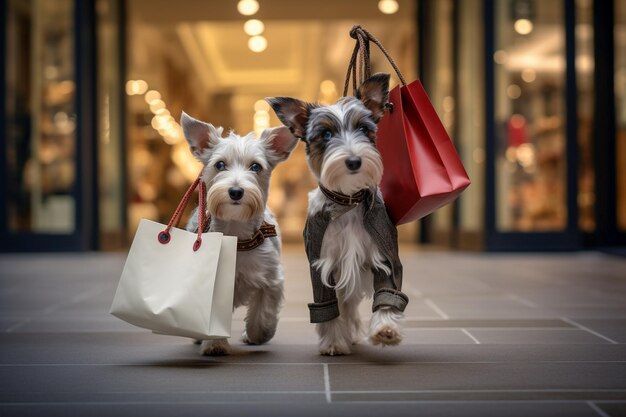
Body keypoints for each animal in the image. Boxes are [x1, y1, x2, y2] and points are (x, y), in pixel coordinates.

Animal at [180, 112, 298, 356]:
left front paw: (257, 335)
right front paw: (214, 344)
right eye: (220, 164)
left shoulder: (271, 279)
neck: (236, 236)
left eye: (255, 167)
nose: (235, 191)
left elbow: (262, 314)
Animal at [266, 72, 408, 354]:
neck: (348, 201)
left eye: (363, 129)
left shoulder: (384, 256)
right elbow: (328, 306)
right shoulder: (323, 264)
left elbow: (387, 294)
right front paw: (333, 341)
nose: (354, 161)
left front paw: (386, 329)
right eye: (326, 134)